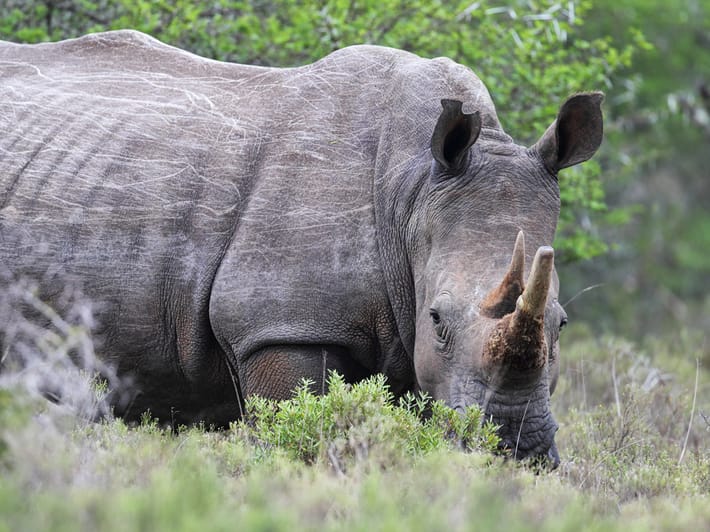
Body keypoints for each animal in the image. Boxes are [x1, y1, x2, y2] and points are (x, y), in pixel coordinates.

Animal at [0, 30, 603, 465]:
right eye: (437, 321)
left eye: (563, 323)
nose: (515, 452)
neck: (412, 189)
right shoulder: (280, 326)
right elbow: (299, 433)